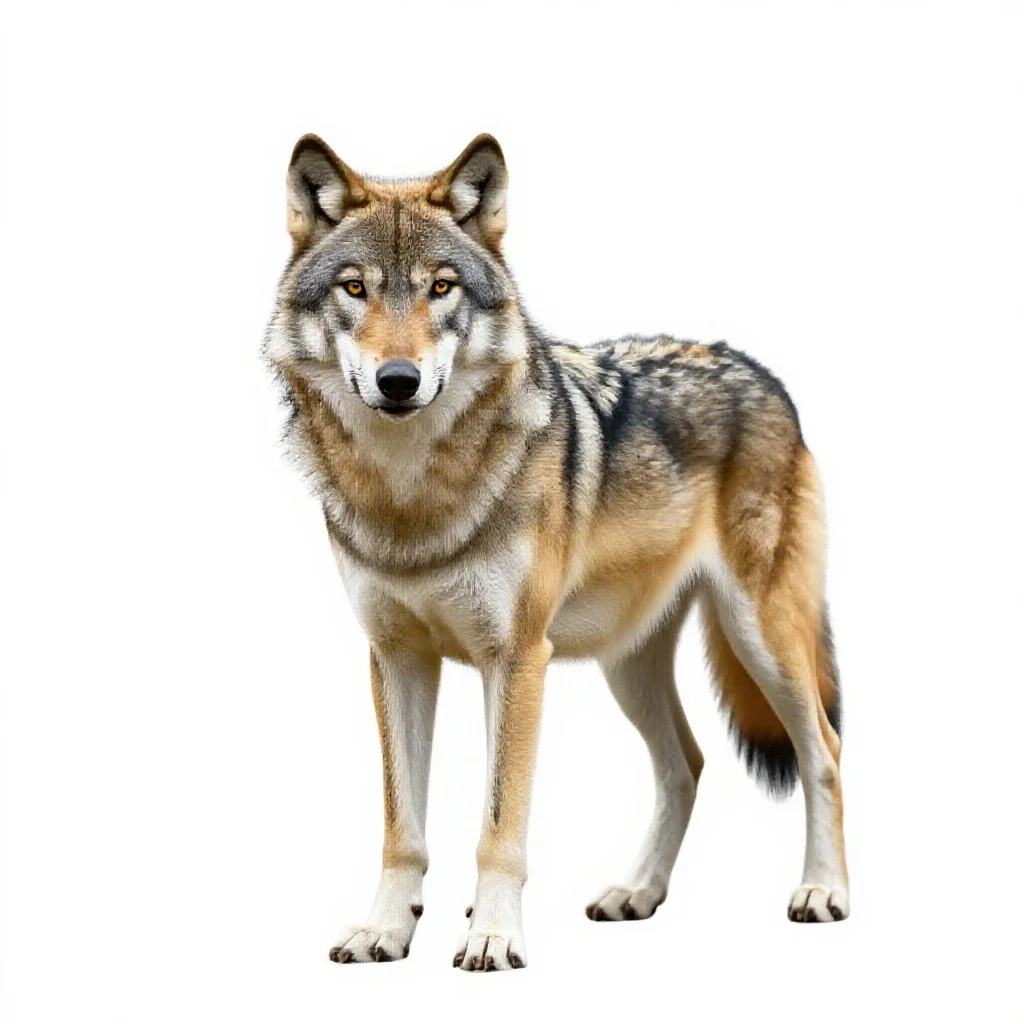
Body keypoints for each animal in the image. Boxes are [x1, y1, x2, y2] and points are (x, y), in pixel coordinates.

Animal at [263, 134, 849, 971]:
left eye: (441, 288)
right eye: (355, 288)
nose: (399, 381)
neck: (412, 497)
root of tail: (760, 372)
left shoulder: (516, 657)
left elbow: (499, 820)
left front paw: (492, 934)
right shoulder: (397, 656)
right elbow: (403, 826)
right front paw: (386, 929)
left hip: (761, 637)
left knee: (822, 749)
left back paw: (823, 891)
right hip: (625, 664)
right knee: (686, 765)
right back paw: (636, 892)